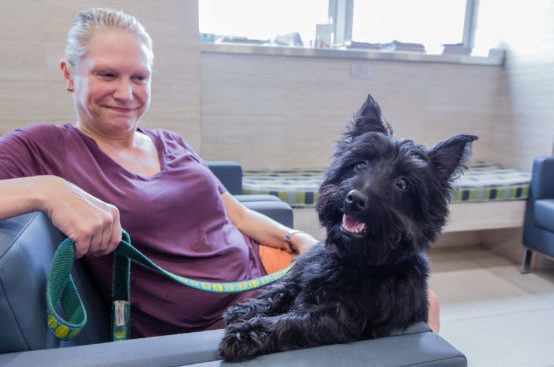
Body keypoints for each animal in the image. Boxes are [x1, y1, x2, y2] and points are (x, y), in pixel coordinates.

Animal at [218, 92, 476, 362]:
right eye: (360, 165)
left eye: (402, 183)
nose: (355, 198)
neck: (351, 258)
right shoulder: (303, 274)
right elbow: (279, 289)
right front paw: (246, 309)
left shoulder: (345, 317)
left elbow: (297, 320)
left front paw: (246, 333)